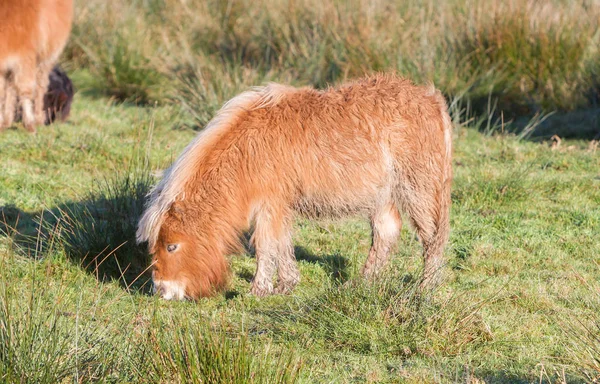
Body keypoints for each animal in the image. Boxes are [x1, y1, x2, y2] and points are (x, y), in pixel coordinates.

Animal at [0, 0, 74, 133]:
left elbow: (26, 89)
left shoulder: (26, 56)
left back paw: (37, 119)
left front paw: (30, 125)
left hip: (45, 58)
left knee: (39, 86)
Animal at [137, 73, 454, 300]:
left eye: (172, 246)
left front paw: (258, 291)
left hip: (418, 188)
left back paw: (425, 288)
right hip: (382, 194)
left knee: (431, 237)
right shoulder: (279, 205)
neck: (246, 147)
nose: (161, 290)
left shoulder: (269, 204)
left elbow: (266, 245)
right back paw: (361, 284)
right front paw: (286, 284)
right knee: (387, 231)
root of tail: (431, 99)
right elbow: (282, 243)